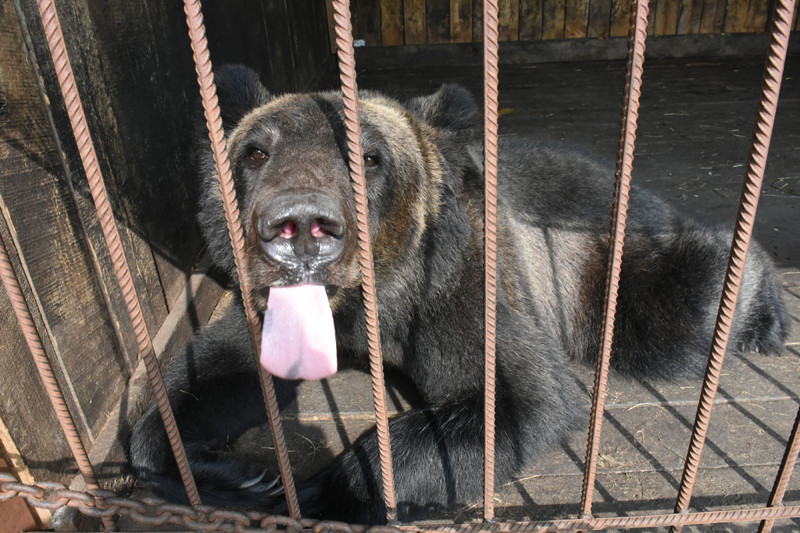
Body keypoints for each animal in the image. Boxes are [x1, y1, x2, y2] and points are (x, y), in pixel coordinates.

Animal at [130, 63, 788, 524]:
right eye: (255, 150)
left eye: (370, 157)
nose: (300, 224)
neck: (371, 301)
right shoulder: (273, 311)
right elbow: (207, 376)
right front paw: (236, 473)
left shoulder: (455, 290)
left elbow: (513, 399)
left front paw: (328, 487)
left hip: (603, 260)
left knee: (677, 316)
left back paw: (763, 307)